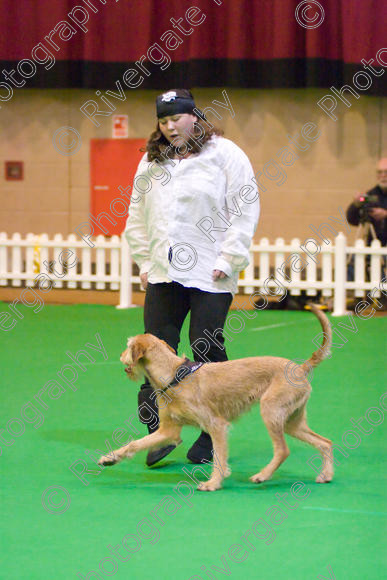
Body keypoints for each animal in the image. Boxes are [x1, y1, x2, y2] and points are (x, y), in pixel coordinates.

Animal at [99, 306, 334, 492]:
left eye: (128, 346)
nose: (120, 356)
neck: (174, 374)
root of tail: (300, 368)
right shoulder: (168, 431)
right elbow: (135, 444)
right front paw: (111, 458)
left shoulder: (217, 426)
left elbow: (219, 457)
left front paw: (213, 483)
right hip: (292, 422)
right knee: (325, 442)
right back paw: (326, 475)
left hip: (271, 411)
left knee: (283, 450)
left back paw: (262, 475)